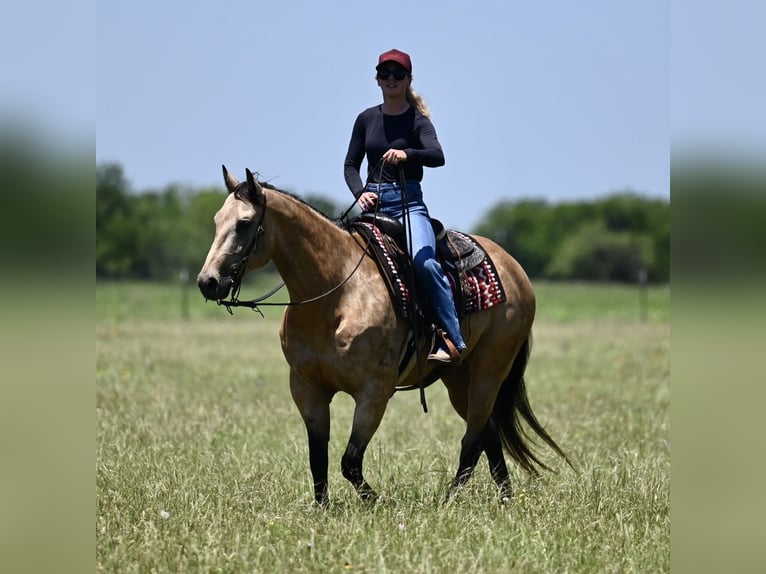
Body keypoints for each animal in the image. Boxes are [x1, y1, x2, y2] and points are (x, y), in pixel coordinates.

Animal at [197, 166, 571, 505]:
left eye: (244, 223)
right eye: (217, 220)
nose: (207, 282)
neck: (336, 293)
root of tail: (514, 268)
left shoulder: (374, 393)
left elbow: (349, 461)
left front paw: (376, 502)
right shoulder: (307, 389)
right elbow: (318, 459)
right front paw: (322, 510)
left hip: (489, 371)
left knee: (473, 440)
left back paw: (449, 502)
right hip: (457, 378)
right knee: (488, 434)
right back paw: (505, 498)